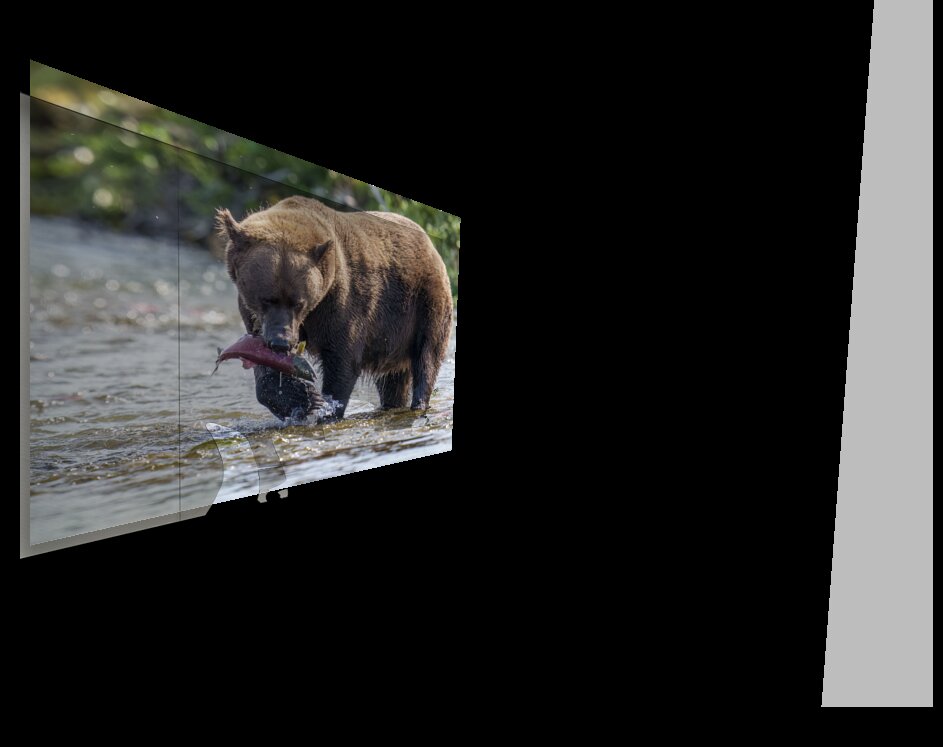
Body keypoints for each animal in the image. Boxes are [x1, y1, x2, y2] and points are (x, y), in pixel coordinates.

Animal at [215, 196, 453, 421]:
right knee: (392, 380)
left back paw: (419, 403)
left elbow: (342, 359)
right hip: (392, 335)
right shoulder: (253, 316)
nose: (281, 343)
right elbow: (263, 362)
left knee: (427, 357)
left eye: (298, 302)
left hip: (423, 302)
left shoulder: (343, 302)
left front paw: (325, 407)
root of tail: (429, 242)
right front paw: (300, 399)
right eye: (266, 299)